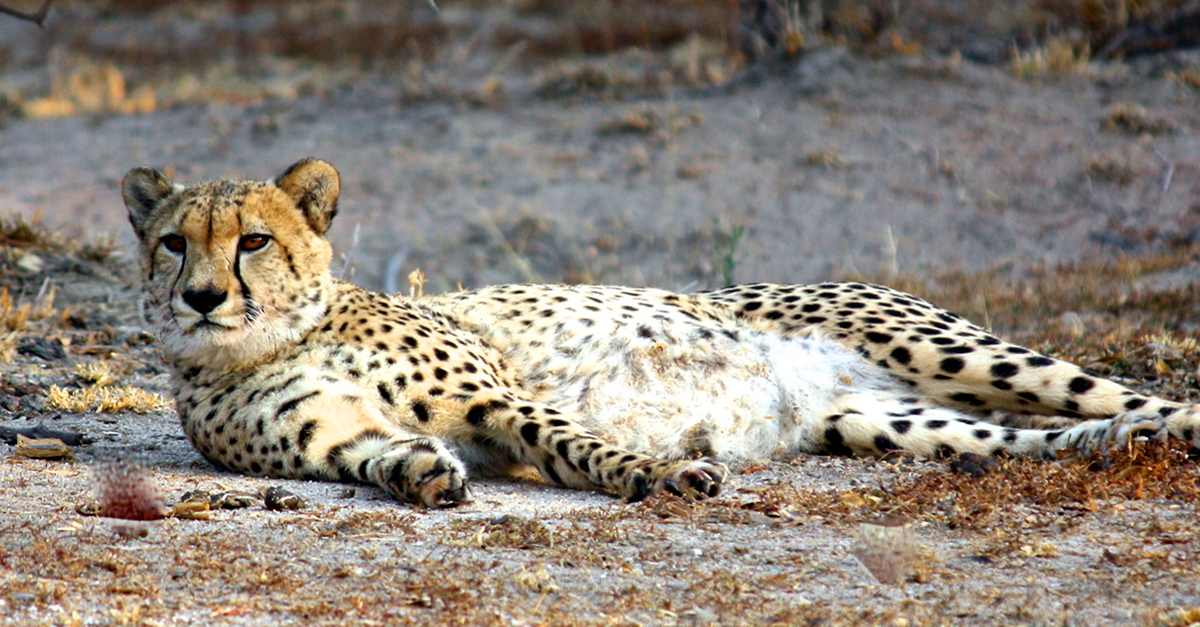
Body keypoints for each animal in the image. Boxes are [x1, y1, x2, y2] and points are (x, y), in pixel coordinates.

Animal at [122, 157, 1200, 508]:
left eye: (253, 240)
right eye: (175, 242)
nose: (201, 297)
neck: (270, 341)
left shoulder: (494, 395)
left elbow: (569, 439)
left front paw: (661, 475)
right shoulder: (337, 443)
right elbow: (388, 457)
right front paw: (428, 476)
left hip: (951, 348)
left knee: (1134, 393)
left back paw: (1161, 427)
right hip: (893, 423)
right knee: (1044, 436)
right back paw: (1117, 447)